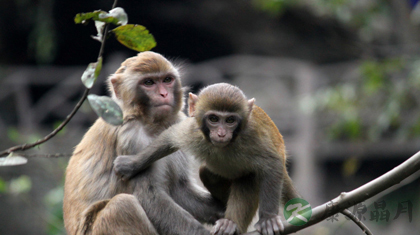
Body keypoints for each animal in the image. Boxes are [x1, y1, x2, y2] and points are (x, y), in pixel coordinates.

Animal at [63, 51, 223, 235]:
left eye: (167, 80)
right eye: (148, 83)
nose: (164, 94)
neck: (150, 122)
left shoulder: (176, 126)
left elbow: (179, 190)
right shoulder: (132, 138)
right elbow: (149, 197)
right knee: (122, 206)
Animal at [113, 82, 300, 235]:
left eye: (230, 120)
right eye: (213, 119)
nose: (221, 133)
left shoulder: (252, 136)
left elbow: (271, 164)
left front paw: (268, 218)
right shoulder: (194, 130)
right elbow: (169, 138)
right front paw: (133, 164)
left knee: (249, 177)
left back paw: (231, 224)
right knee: (207, 173)